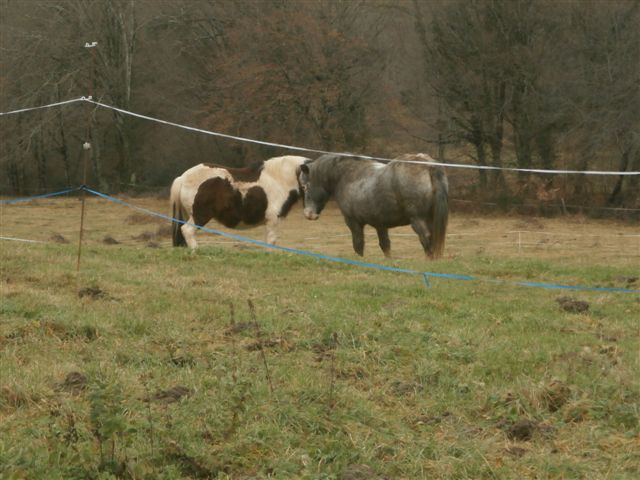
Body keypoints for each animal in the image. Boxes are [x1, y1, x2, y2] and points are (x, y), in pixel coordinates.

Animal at [170, 156, 310, 249]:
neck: (279, 180)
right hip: (200, 215)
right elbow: (271, 241)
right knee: (187, 230)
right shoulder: (273, 219)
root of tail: (182, 178)